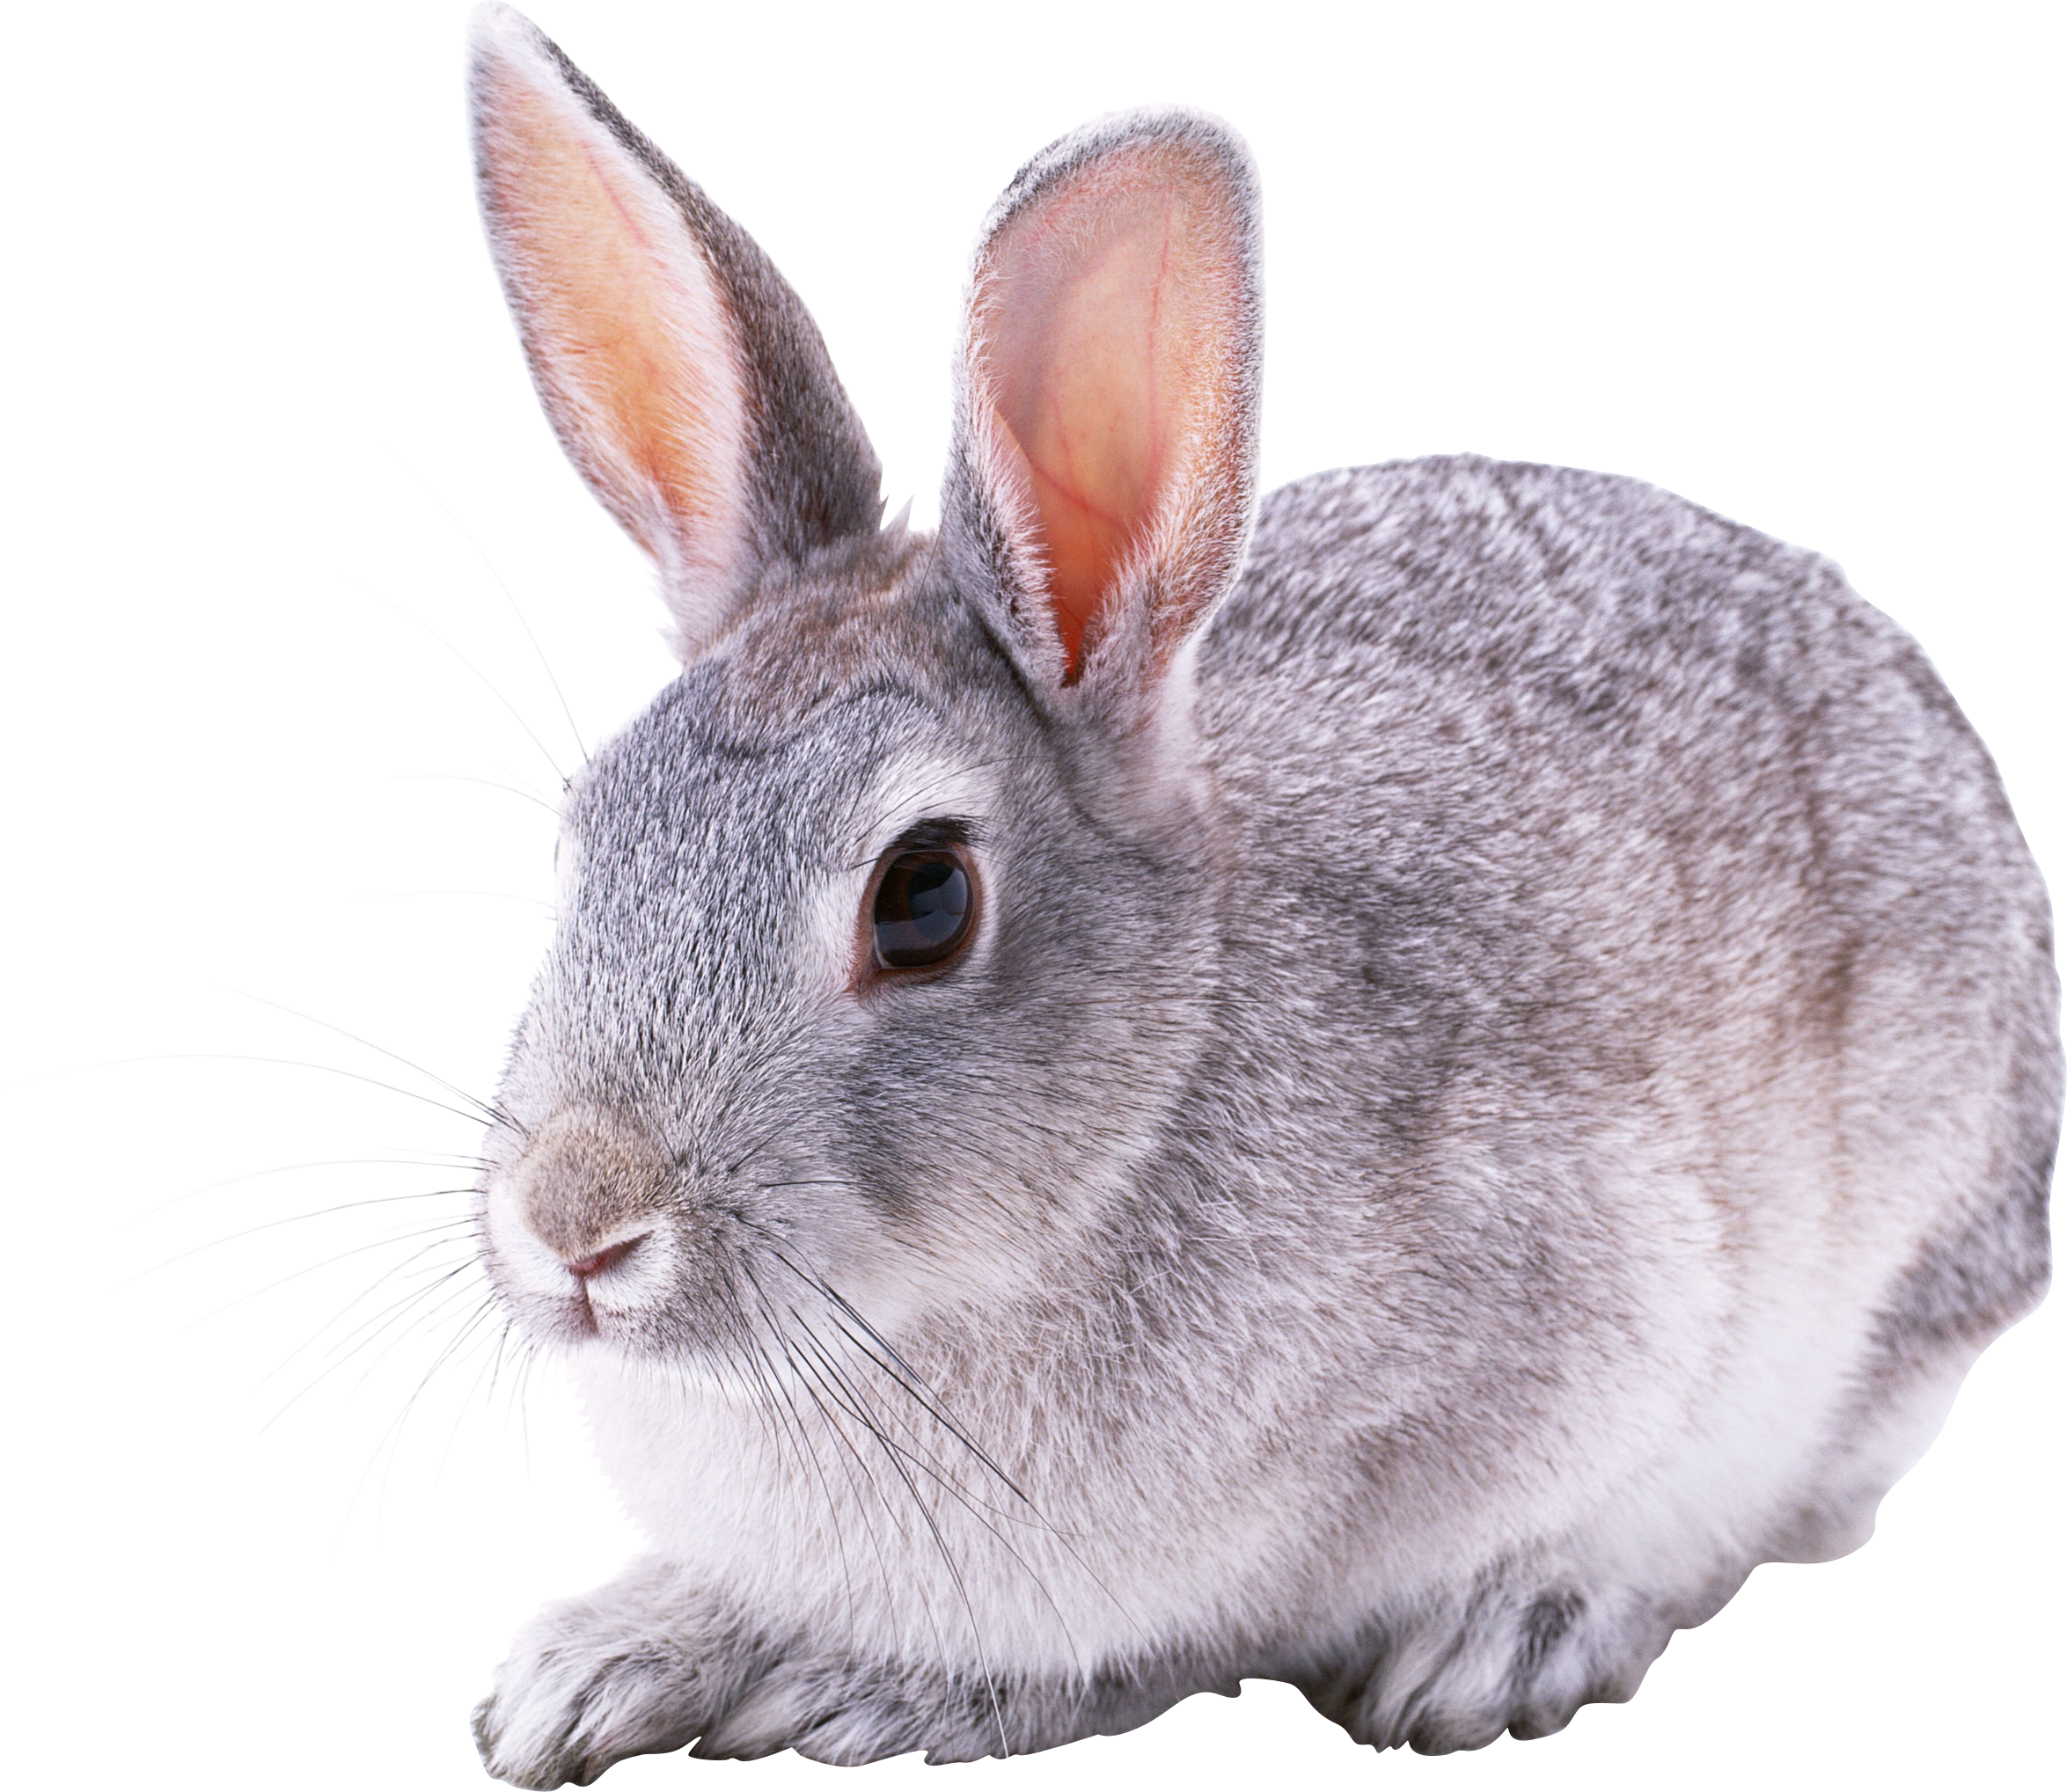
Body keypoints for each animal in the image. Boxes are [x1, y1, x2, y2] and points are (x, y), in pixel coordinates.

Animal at [462, 4, 2057, 1781]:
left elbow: (1177, 1636)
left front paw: (861, 1689)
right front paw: (590, 1664)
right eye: (585, 829)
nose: (575, 1222)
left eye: (923, 900)